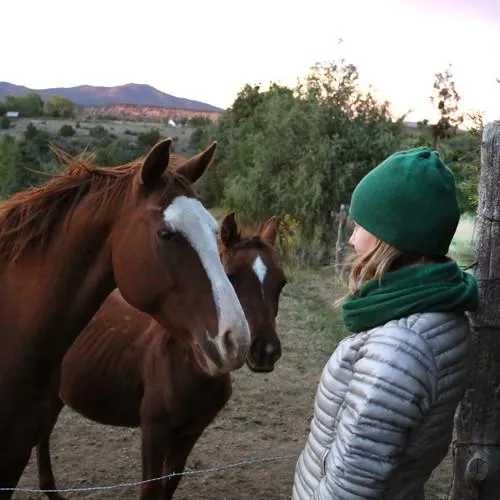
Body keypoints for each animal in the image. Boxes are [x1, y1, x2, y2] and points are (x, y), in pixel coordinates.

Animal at [34, 212, 286, 500]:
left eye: (281, 282)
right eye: (231, 277)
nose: (265, 350)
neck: (188, 366)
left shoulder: (191, 432)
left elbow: (170, 482)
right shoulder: (154, 431)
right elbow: (151, 487)